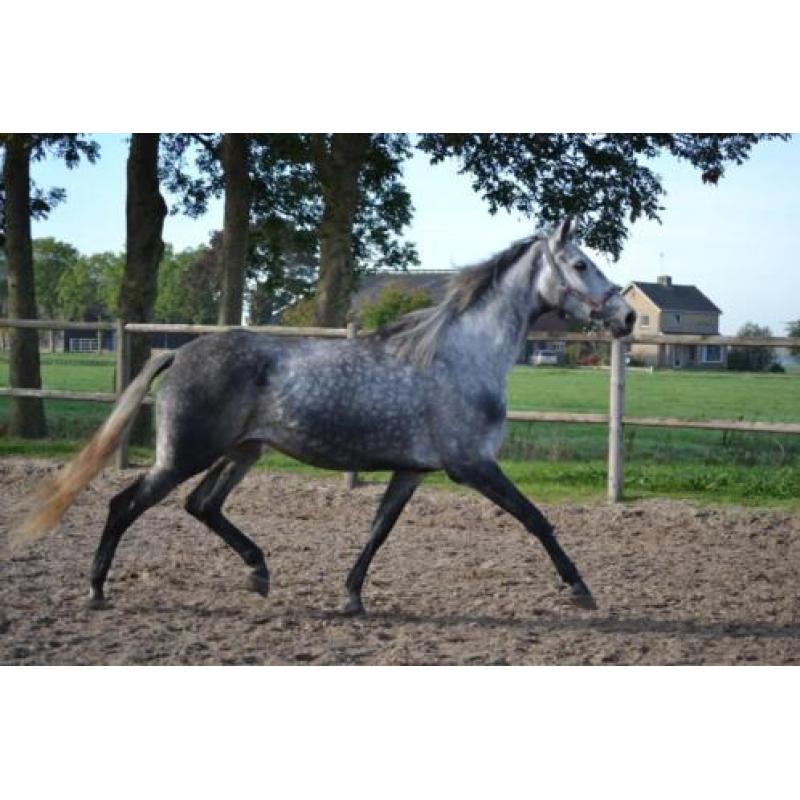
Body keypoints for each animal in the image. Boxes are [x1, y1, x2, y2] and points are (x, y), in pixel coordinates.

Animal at [17, 217, 636, 615]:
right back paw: (97, 591)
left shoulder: (412, 470)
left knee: (202, 505)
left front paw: (351, 597)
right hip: (185, 454)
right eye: (580, 264)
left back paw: (259, 573)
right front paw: (581, 590)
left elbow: (377, 531)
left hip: (243, 451)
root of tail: (181, 351)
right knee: (125, 505)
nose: (627, 317)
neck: (460, 356)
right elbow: (537, 519)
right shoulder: (473, 466)